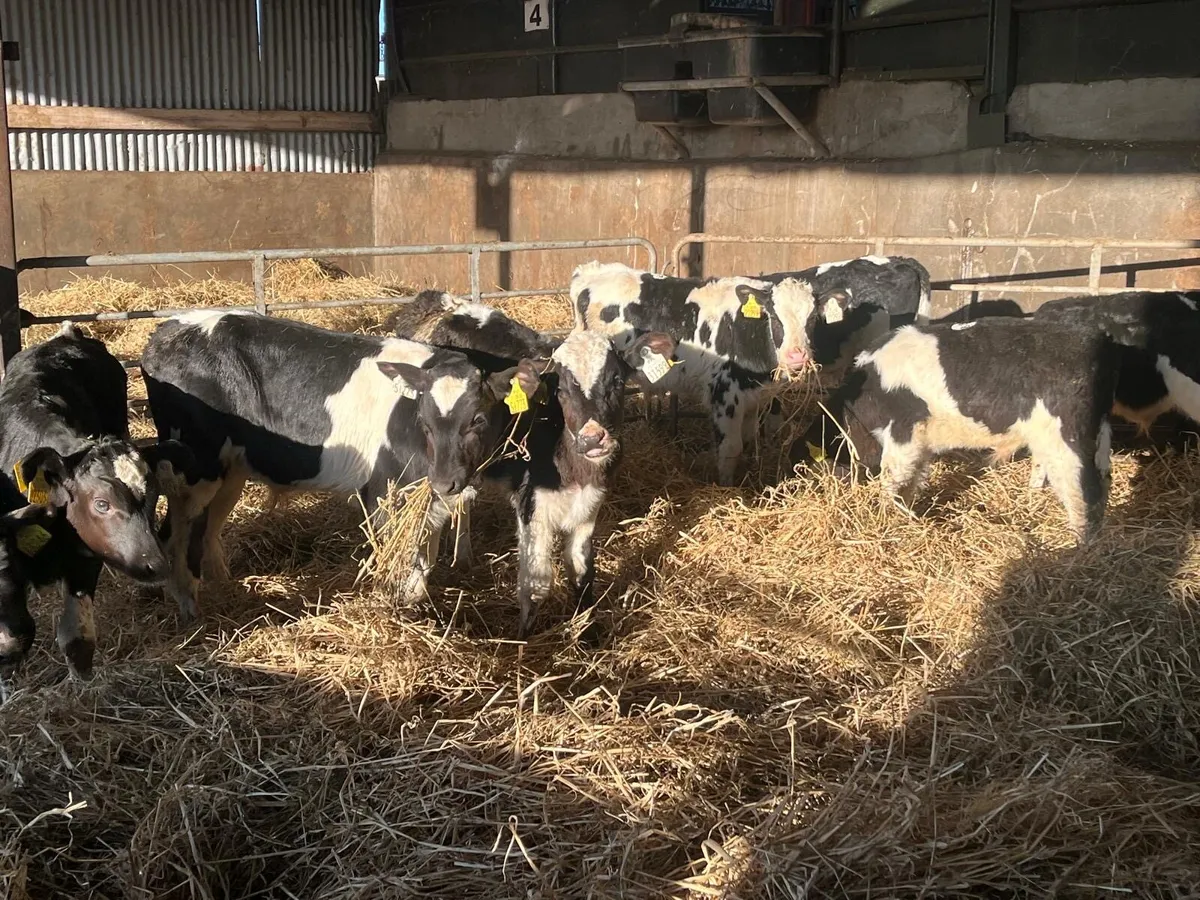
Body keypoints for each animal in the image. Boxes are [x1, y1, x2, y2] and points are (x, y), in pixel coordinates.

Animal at [139, 309, 540, 621]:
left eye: (478, 420)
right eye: (424, 422)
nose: (446, 480)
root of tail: (165, 330)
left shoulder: (429, 499)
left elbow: (424, 558)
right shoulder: (382, 490)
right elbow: (400, 561)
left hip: (231, 468)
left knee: (207, 527)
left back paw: (223, 587)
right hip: (196, 468)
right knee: (175, 533)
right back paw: (190, 610)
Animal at [412, 292, 675, 637]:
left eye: (617, 380)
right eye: (560, 388)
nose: (593, 439)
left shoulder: (589, 504)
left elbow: (582, 571)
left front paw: (587, 634)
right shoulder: (532, 506)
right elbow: (536, 585)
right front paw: (522, 641)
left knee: (460, 502)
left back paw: (464, 557)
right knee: (432, 512)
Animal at [570, 262, 820, 485]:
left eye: (813, 319)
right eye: (775, 318)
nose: (797, 356)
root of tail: (591, 270)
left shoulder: (754, 399)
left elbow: (749, 442)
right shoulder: (724, 396)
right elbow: (731, 449)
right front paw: (728, 489)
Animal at [789, 317, 1116, 543]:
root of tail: (1095, 338)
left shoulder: (903, 433)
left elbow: (891, 482)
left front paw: (884, 519)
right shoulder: (919, 442)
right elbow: (911, 481)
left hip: (1069, 440)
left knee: (1084, 492)